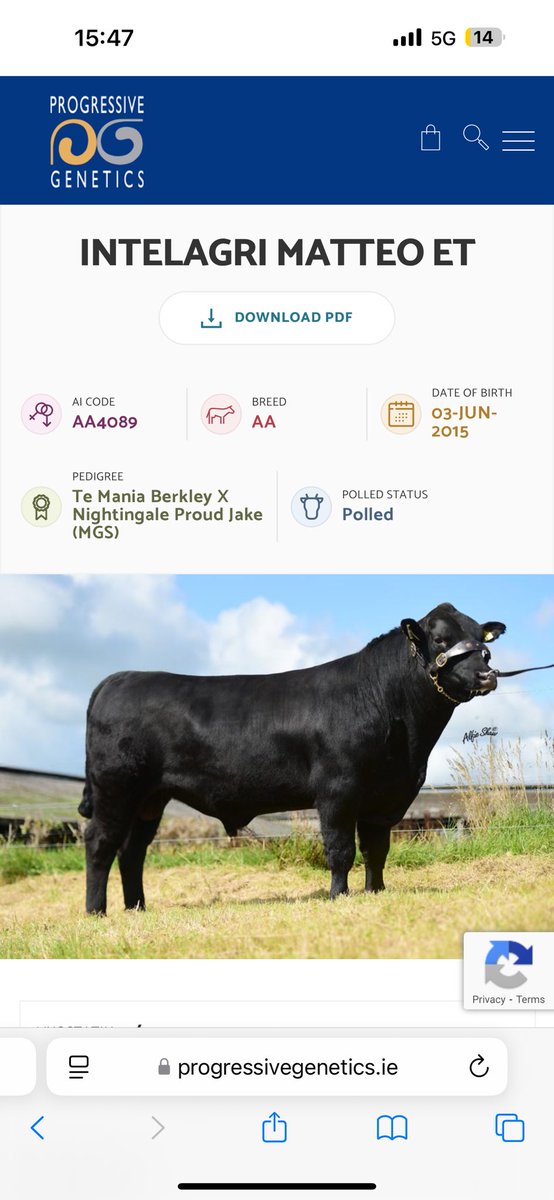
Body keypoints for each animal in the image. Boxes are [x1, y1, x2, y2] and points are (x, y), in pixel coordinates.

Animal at [79, 602, 506, 914]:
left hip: (150, 799)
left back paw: (137, 908)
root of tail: (117, 678)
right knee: (101, 842)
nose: (486, 675)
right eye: (440, 639)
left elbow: (376, 851)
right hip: (116, 788)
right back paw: (97, 911)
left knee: (132, 851)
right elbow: (341, 850)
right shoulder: (337, 791)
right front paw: (338, 896)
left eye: (479, 637)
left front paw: (376, 893)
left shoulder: (384, 797)